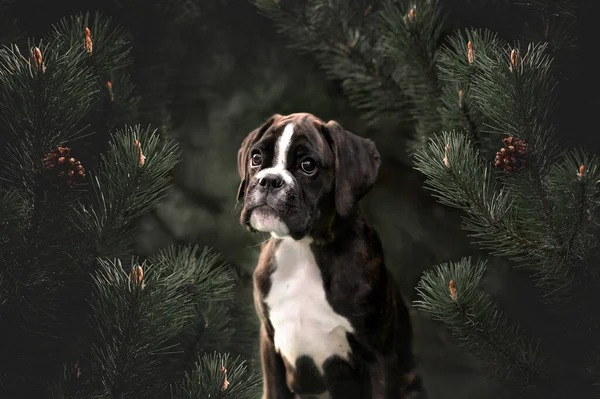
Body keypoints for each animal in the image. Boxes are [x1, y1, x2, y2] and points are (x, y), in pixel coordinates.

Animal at [237, 113, 420, 399]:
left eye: (308, 165)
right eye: (256, 158)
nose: (269, 180)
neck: (304, 248)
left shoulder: (379, 356)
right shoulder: (270, 346)